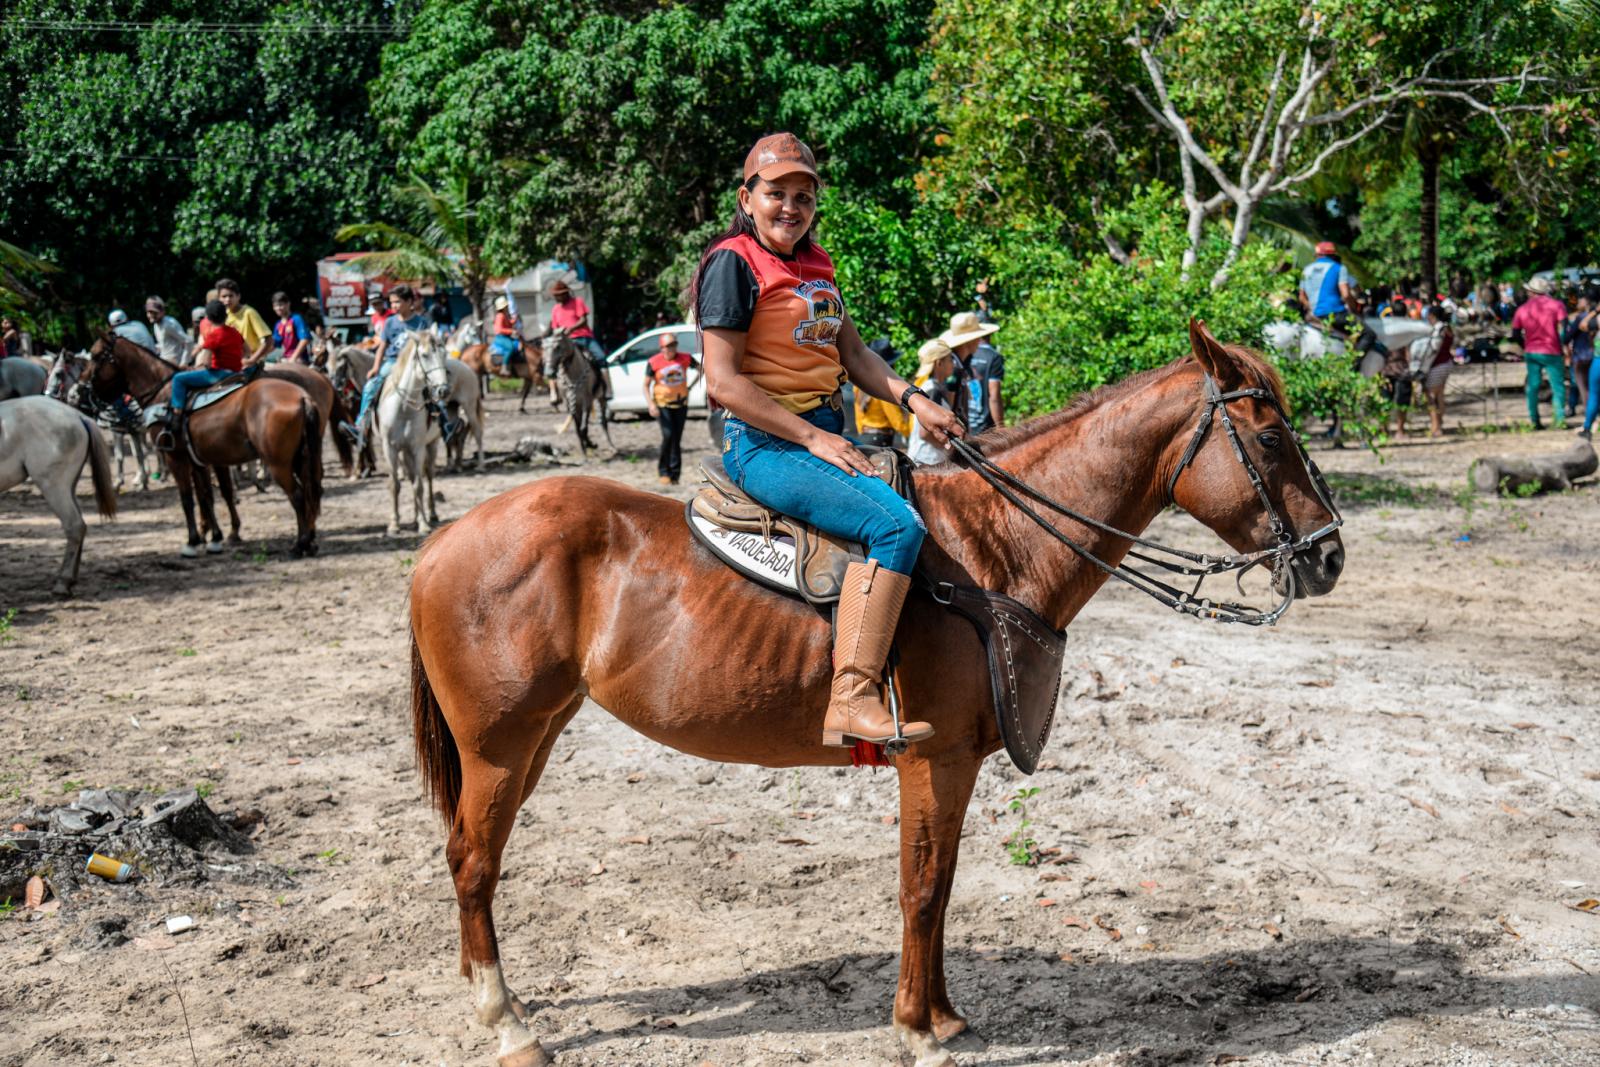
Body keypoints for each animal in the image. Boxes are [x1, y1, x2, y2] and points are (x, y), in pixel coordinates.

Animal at [0, 395, 116, 598]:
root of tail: (77, 415)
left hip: (54, 487)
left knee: (74, 526)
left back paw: (63, 583)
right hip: (68, 487)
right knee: (81, 526)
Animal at [84, 337, 324, 559]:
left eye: (95, 356)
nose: (82, 389)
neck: (163, 394)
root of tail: (302, 397)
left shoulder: (176, 458)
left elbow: (187, 499)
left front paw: (192, 541)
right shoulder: (199, 461)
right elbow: (206, 496)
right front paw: (215, 538)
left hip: (278, 464)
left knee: (298, 496)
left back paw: (300, 544)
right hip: (300, 459)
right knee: (310, 493)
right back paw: (310, 542)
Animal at [406, 326, 1344, 1067]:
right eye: (1269, 439)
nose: (1330, 554)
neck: (992, 546)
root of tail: (444, 539)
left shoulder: (956, 763)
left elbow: (944, 882)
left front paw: (945, 1015)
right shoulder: (935, 756)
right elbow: (922, 886)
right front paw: (916, 1029)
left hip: (534, 736)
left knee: (475, 858)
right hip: (497, 743)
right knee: (472, 860)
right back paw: (507, 1023)